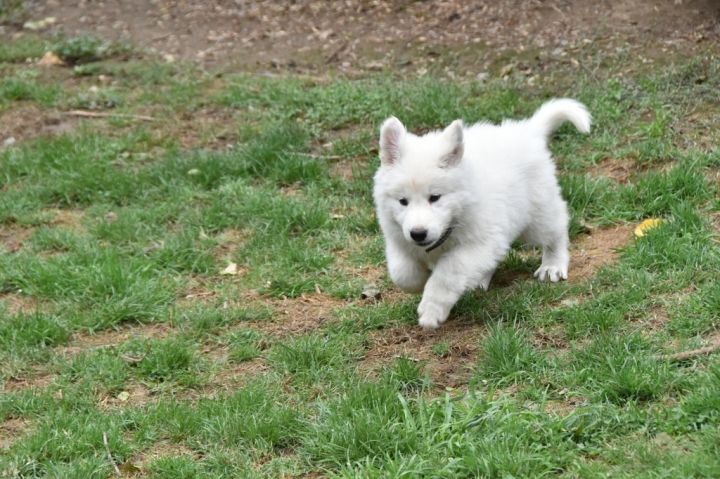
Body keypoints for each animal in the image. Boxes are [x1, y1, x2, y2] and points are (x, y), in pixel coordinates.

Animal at [373, 99, 591, 329]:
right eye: (402, 201)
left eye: (435, 197)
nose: (418, 233)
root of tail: (527, 131)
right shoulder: (398, 239)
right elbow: (403, 274)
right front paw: (419, 282)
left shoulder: (477, 244)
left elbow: (447, 274)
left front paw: (431, 310)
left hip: (537, 214)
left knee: (556, 229)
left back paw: (552, 265)